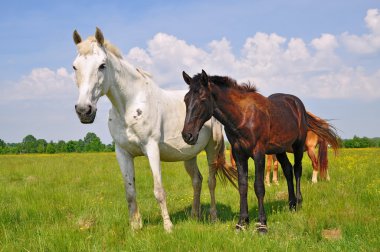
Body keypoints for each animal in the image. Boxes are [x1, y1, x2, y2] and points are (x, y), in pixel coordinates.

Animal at [72, 28, 235, 232]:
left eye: (102, 65)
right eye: (75, 67)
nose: (84, 110)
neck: (129, 106)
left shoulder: (151, 148)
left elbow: (159, 190)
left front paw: (168, 227)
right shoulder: (122, 152)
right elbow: (130, 191)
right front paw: (135, 227)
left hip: (212, 149)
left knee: (211, 182)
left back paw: (213, 217)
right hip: (189, 153)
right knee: (197, 180)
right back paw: (194, 216)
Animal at [183, 70, 332, 233]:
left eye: (203, 99)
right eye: (185, 100)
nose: (187, 135)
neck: (243, 116)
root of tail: (297, 104)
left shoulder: (258, 153)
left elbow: (259, 186)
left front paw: (262, 224)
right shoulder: (239, 154)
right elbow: (243, 187)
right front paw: (242, 223)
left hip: (298, 146)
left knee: (297, 169)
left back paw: (298, 202)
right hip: (280, 150)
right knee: (288, 170)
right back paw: (291, 203)